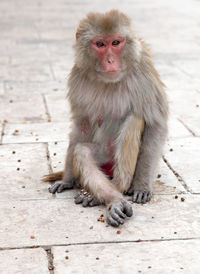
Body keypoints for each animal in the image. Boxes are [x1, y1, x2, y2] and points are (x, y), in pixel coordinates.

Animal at [41, 9, 167, 227]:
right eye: (100, 44)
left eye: (116, 43)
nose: (110, 60)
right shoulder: (78, 75)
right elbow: (81, 127)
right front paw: (67, 180)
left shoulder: (144, 70)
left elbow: (155, 123)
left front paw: (142, 186)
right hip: (105, 157)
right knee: (82, 151)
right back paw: (110, 198)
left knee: (134, 117)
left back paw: (118, 187)